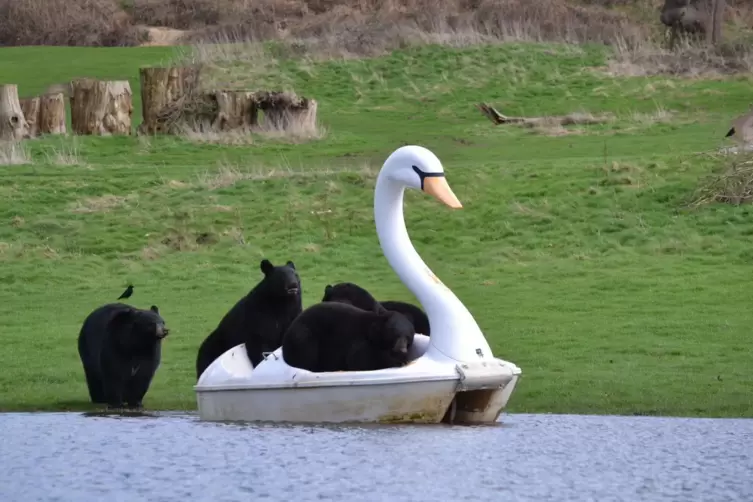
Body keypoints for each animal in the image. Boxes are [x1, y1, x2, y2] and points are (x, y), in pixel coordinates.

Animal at [280, 302, 412, 372]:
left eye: (408, 337)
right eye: (394, 332)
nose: (401, 349)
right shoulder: (360, 342)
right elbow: (360, 362)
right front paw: (394, 361)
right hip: (303, 337)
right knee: (306, 356)